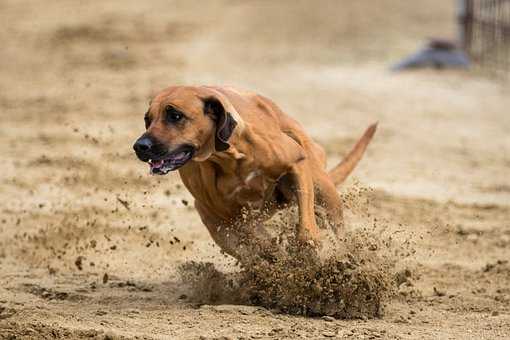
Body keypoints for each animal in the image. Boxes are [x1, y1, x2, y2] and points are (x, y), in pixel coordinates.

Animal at [133, 86, 376, 258]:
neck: (228, 157)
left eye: (175, 115)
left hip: (324, 189)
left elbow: (306, 227)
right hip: (214, 220)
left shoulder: (297, 164)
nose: (139, 146)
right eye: (147, 120)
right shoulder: (232, 217)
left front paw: (308, 245)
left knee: (336, 226)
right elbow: (258, 242)